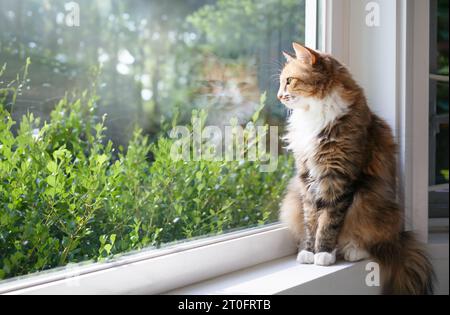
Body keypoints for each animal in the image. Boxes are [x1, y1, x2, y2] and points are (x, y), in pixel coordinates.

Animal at [278, 42, 436, 296]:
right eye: (282, 82)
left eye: (289, 81)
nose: (279, 95)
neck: (315, 114)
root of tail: (399, 237)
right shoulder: (307, 178)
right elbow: (311, 221)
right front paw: (309, 251)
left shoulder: (339, 176)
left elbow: (329, 221)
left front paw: (323, 253)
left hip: (369, 198)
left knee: (368, 239)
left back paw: (353, 250)